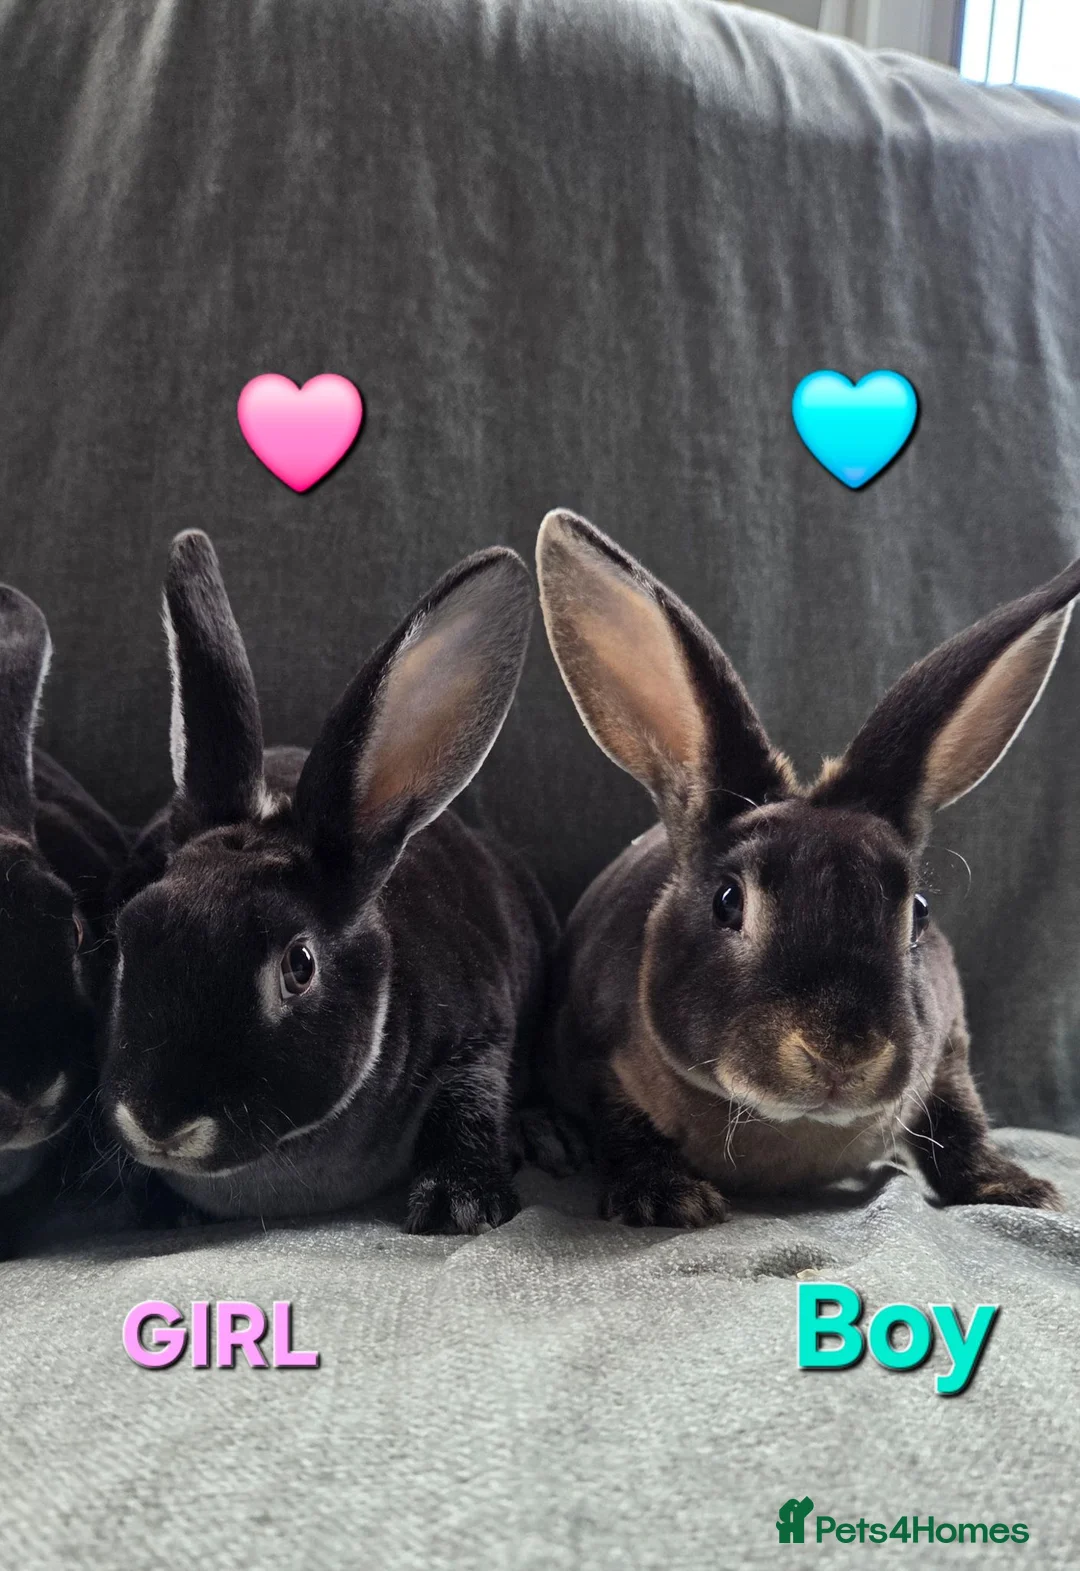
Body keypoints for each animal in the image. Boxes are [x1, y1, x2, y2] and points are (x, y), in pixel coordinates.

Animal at [101, 530, 556, 1234]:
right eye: (127, 940)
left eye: (300, 966)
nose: (158, 1121)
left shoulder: (481, 1032)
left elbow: (473, 1102)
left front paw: (459, 1205)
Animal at [534, 509, 1079, 1227]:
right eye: (728, 901)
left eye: (918, 914)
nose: (841, 1052)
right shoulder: (596, 1054)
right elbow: (625, 1127)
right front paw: (668, 1198)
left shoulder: (949, 1051)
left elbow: (962, 1121)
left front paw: (1016, 1189)